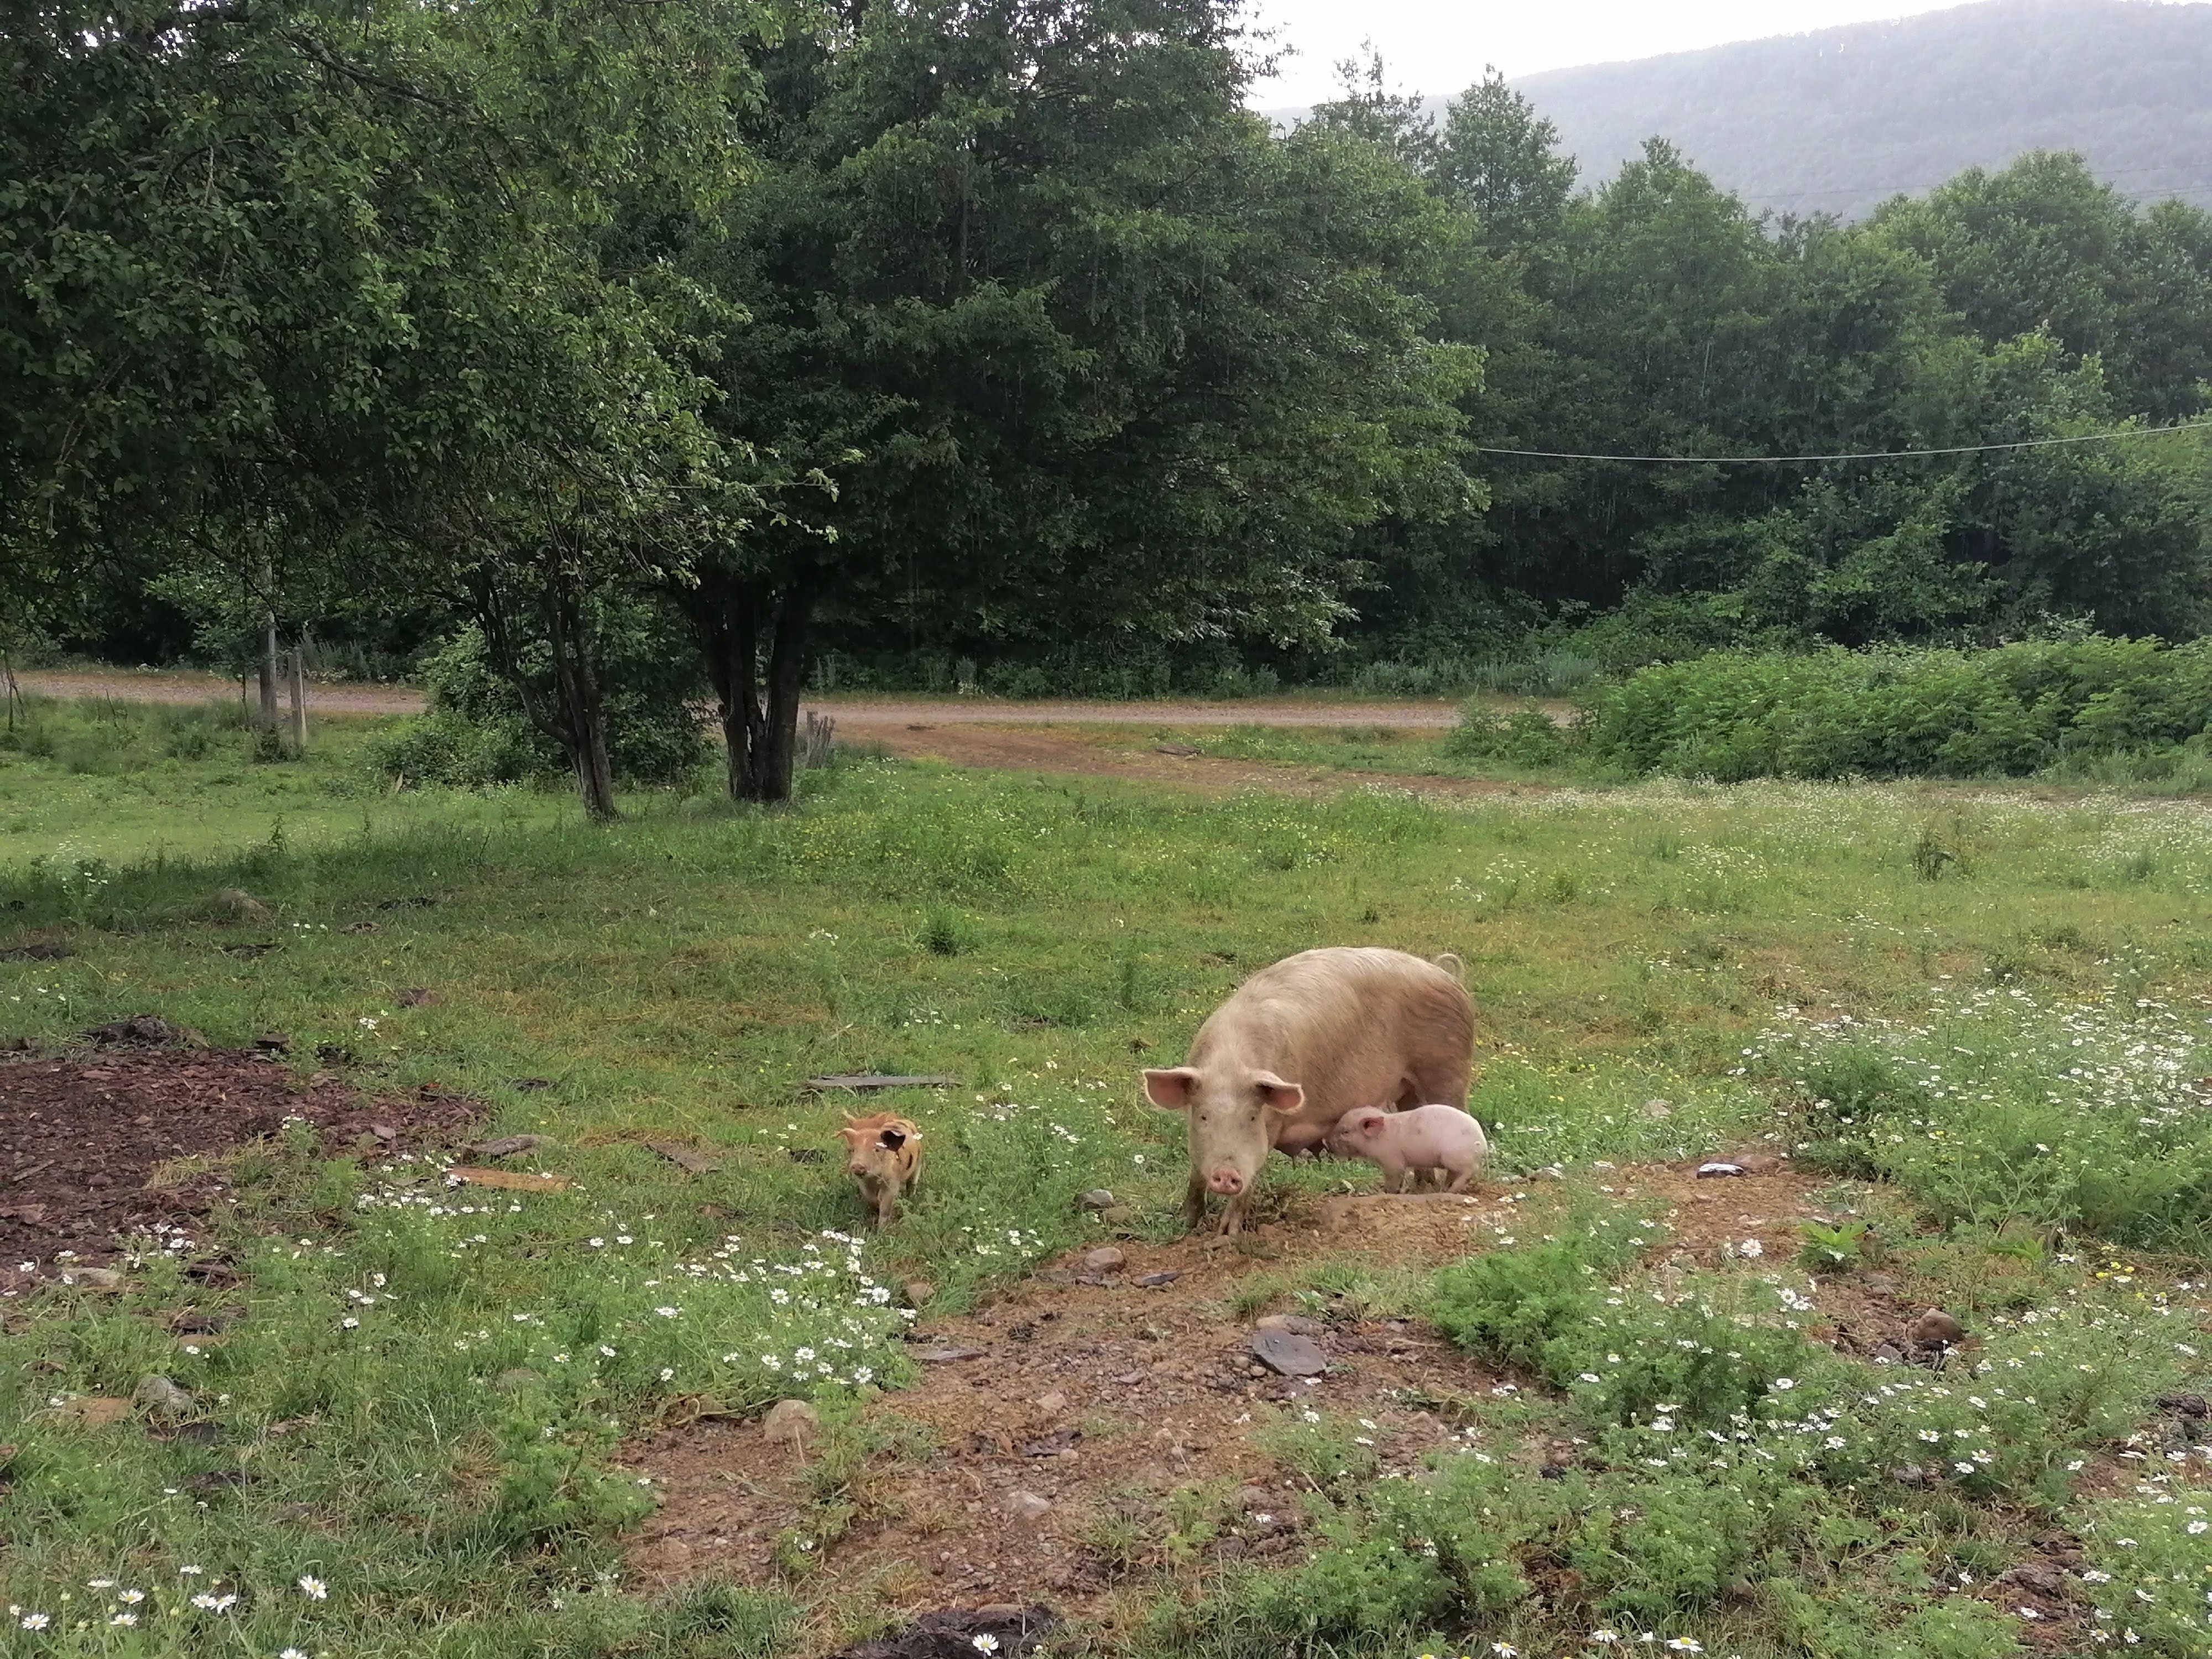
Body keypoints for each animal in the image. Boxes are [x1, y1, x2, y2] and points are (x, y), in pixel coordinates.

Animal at [1150, 947, 1478, 1239]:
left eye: (1253, 1118)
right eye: (1204, 1117)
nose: (1227, 1174)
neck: (1230, 1064)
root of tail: (1445, 974)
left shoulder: (1272, 1125)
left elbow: (1251, 1177)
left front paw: (1227, 1235)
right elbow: (1195, 1175)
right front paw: (1186, 1223)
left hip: (1447, 1068)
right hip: (1408, 1088)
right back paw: (1420, 1193)